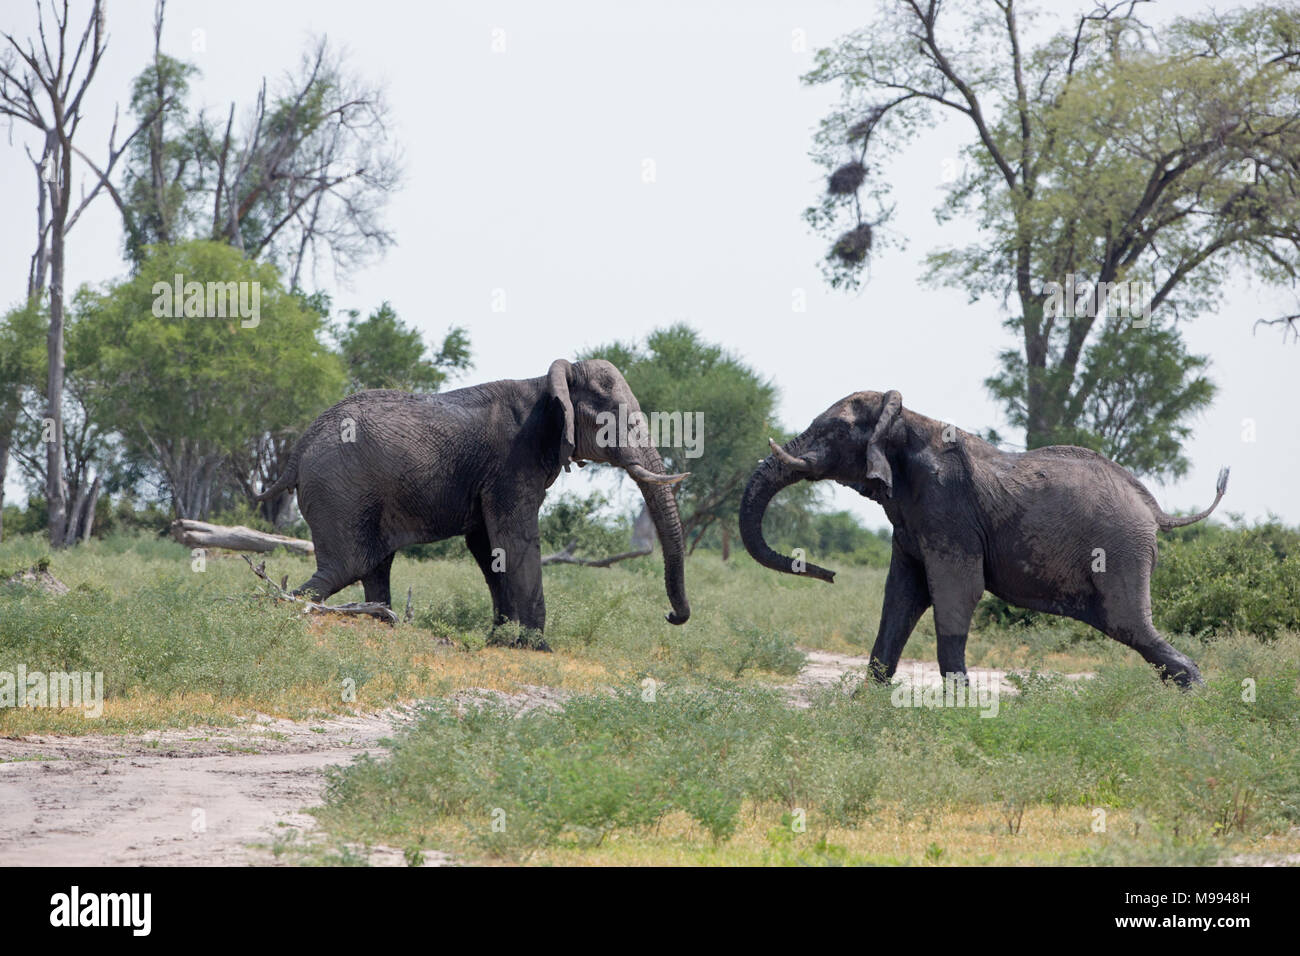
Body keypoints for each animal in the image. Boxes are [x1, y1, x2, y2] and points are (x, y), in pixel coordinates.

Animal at [256, 359, 691, 644]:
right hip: (339, 490)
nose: (671, 615)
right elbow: (516, 539)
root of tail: (298, 450)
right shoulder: (513, 461)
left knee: (373, 567)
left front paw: (500, 640)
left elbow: (487, 547)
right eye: (618, 419)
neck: (548, 383)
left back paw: (381, 622)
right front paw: (537, 648)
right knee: (345, 567)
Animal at [739, 390, 1228, 687]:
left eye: (835, 431)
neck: (903, 418)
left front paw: (959, 715)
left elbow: (957, 593)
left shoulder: (948, 509)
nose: (830, 575)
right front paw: (862, 712)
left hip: (1121, 549)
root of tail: (1155, 509)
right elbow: (900, 599)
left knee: (1130, 626)